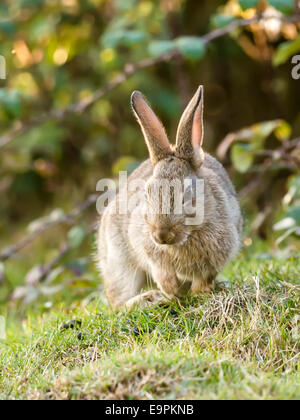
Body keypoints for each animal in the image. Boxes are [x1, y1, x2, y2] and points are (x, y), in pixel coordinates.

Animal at [97, 86, 243, 308]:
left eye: (186, 194)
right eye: (147, 193)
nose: (161, 235)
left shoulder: (216, 257)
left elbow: (203, 279)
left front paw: (198, 293)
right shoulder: (151, 253)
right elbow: (163, 274)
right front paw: (173, 292)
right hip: (120, 262)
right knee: (118, 303)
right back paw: (150, 298)